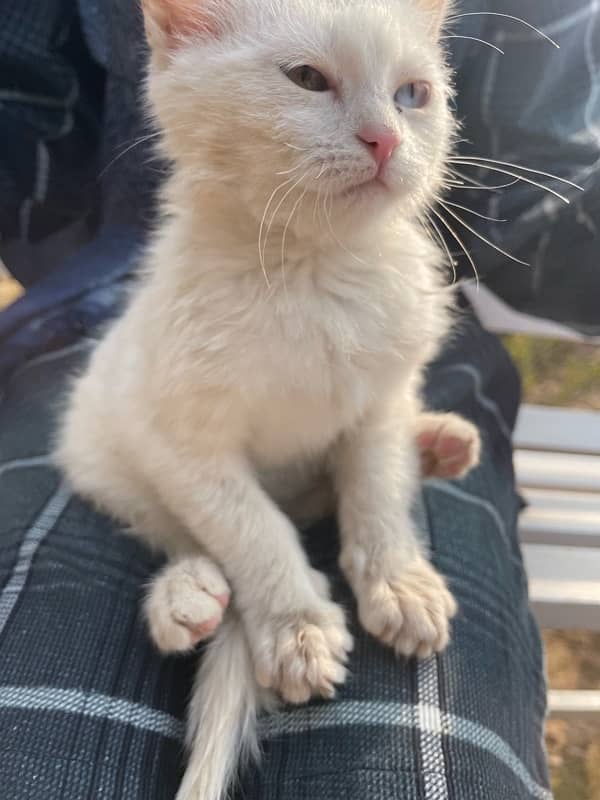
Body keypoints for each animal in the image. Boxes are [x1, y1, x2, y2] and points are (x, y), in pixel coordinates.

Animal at [56, 1, 478, 800]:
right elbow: (250, 529)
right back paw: (185, 598)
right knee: (180, 528)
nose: (385, 139)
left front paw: (397, 581)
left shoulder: (381, 396)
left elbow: (375, 489)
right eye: (308, 79)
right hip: (99, 443)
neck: (313, 273)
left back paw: (439, 443)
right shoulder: (181, 440)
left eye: (413, 94)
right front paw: (296, 626)